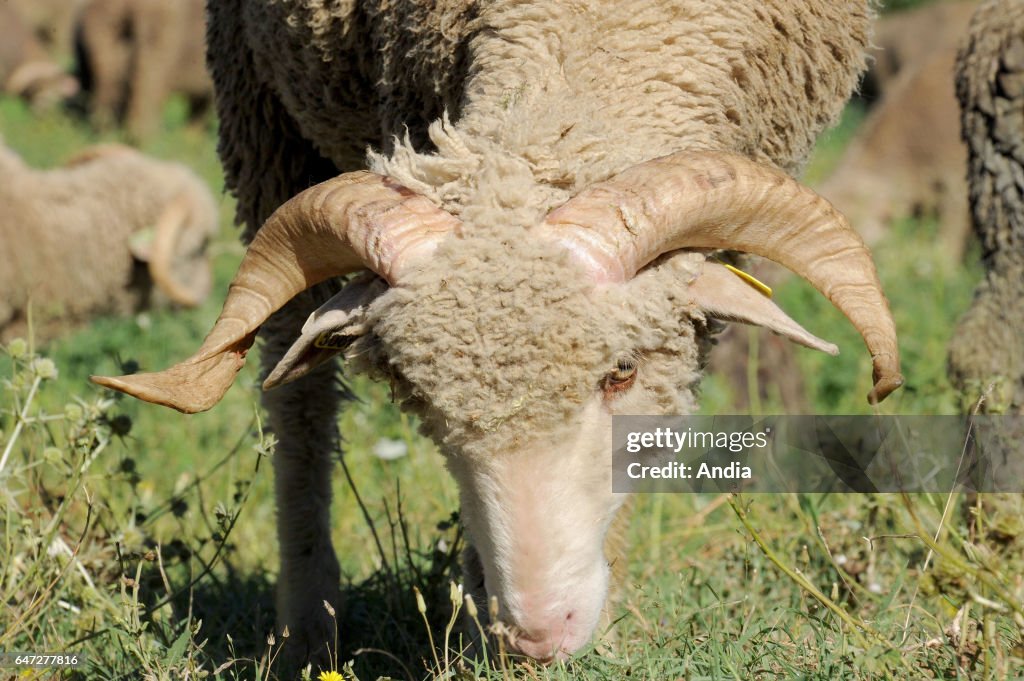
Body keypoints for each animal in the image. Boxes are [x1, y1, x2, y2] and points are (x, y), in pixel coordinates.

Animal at [92, 0, 903, 664]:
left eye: (622, 372)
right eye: (421, 400)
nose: (537, 634)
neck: (593, 35)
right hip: (263, 118)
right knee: (299, 412)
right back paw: (307, 629)